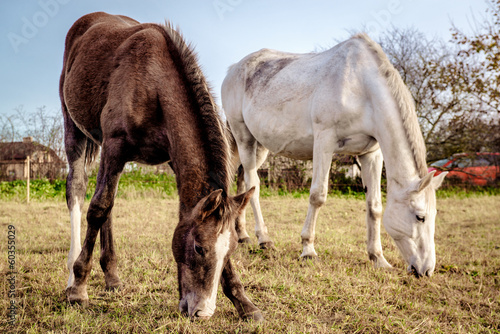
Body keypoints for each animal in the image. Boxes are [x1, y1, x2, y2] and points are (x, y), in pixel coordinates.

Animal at [61, 12, 264, 320]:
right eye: (198, 247)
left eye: (229, 251)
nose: (202, 312)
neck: (153, 83)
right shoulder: (114, 146)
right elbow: (97, 209)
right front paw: (79, 287)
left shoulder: (167, 157)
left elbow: (106, 206)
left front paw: (243, 301)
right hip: (74, 128)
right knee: (78, 191)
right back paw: (72, 277)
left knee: (107, 204)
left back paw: (112, 276)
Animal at [221, 34, 448, 280]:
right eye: (420, 217)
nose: (426, 270)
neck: (361, 87)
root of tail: (233, 69)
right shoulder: (324, 141)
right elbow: (317, 196)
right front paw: (308, 250)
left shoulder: (371, 154)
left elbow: (374, 206)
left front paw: (378, 258)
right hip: (243, 137)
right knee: (253, 183)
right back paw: (264, 239)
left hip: (260, 145)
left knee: (243, 181)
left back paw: (243, 235)